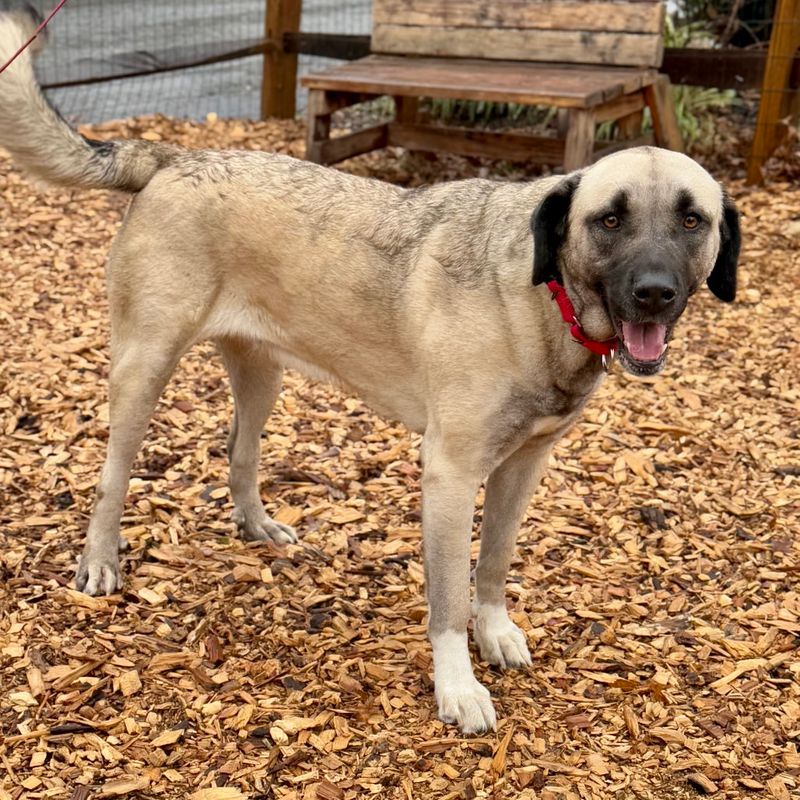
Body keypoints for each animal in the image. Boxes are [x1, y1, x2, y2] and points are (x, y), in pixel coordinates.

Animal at [0, 3, 740, 736]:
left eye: (692, 220)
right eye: (609, 219)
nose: (653, 292)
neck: (542, 295)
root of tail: (176, 156)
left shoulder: (522, 466)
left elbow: (495, 562)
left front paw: (495, 630)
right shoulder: (450, 473)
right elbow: (446, 600)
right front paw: (458, 687)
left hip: (261, 373)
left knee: (239, 451)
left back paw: (256, 526)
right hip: (144, 367)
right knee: (112, 478)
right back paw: (100, 561)